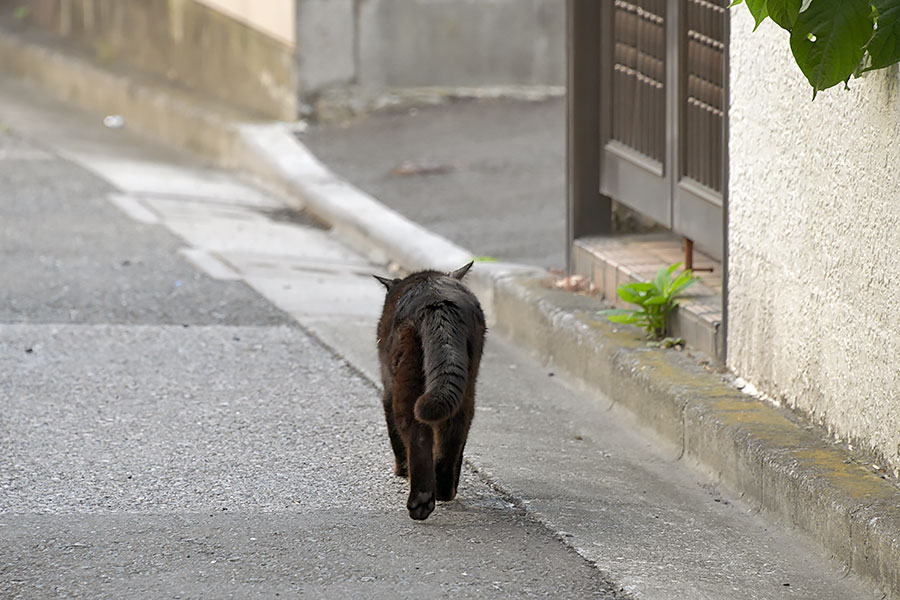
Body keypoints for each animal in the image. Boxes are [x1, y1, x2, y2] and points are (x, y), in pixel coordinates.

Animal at [372, 262, 486, 520]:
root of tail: (436, 300)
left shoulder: (387, 389)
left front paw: (402, 470)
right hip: (467, 384)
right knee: (454, 430)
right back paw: (444, 490)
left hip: (405, 381)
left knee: (414, 430)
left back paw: (421, 500)